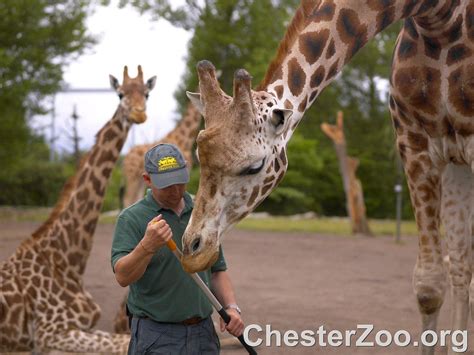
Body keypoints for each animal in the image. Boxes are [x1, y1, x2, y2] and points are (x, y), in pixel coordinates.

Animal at [0, 66, 156, 354]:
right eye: (120, 94)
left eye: (147, 93)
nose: (139, 113)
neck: (67, 260)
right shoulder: (50, 334)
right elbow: (124, 343)